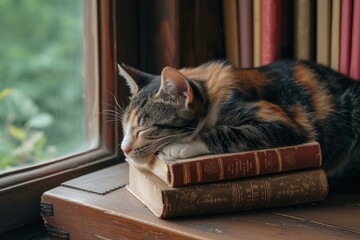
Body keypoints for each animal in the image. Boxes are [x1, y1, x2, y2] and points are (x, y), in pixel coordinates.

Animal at [119, 59, 360, 187]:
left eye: (145, 128)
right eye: (125, 126)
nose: (124, 148)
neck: (210, 94)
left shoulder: (281, 122)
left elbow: (225, 132)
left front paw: (180, 146)